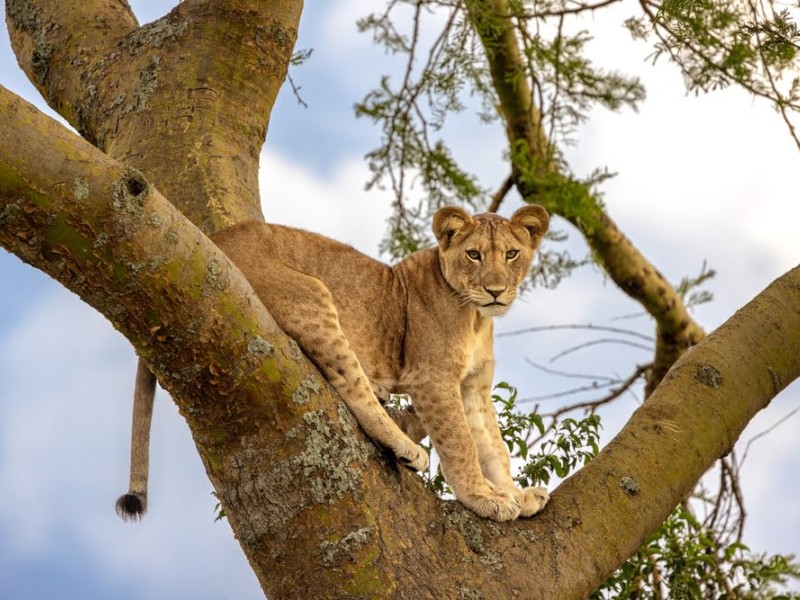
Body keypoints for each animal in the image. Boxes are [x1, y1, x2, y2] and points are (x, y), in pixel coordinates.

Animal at [117, 205, 550, 522]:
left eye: (511, 254)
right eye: (473, 255)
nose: (495, 291)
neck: (477, 318)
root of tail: (212, 238)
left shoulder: (473, 386)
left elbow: (493, 446)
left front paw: (513, 493)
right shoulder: (432, 378)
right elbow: (461, 443)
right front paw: (483, 498)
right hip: (311, 293)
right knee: (348, 383)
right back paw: (403, 445)